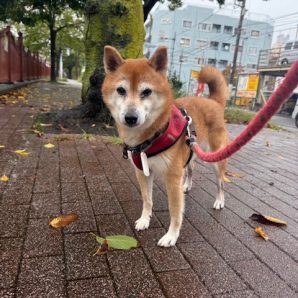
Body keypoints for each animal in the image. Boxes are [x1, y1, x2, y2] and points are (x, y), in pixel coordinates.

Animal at [101, 46, 229, 247]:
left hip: (216, 158)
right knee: (191, 169)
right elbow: (147, 200)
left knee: (221, 182)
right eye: (120, 90)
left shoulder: (172, 178)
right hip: (190, 152)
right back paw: (187, 186)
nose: (130, 117)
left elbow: (175, 212)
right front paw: (144, 220)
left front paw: (171, 236)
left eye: (146, 92)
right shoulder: (143, 172)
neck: (149, 137)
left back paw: (219, 201)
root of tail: (214, 101)